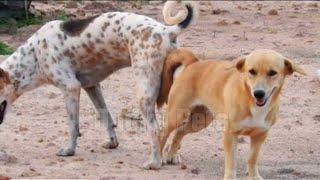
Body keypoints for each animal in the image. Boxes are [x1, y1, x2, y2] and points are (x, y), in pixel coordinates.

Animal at [0, 0, 198, 169]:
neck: (33, 56)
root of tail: (167, 30)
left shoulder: (71, 88)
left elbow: (73, 126)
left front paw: (69, 150)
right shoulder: (92, 86)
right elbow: (106, 117)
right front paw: (112, 142)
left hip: (144, 93)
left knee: (156, 129)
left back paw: (155, 162)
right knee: (173, 125)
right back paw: (172, 156)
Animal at [152, 48, 304, 179]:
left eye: (272, 72)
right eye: (251, 71)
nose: (258, 93)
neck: (250, 100)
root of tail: (193, 62)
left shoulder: (260, 135)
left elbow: (252, 159)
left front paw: (254, 176)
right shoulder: (230, 134)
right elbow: (231, 161)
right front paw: (230, 177)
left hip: (200, 121)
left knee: (180, 132)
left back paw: (171, 155)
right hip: (176, 116)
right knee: (163, 133)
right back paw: (157, 160)